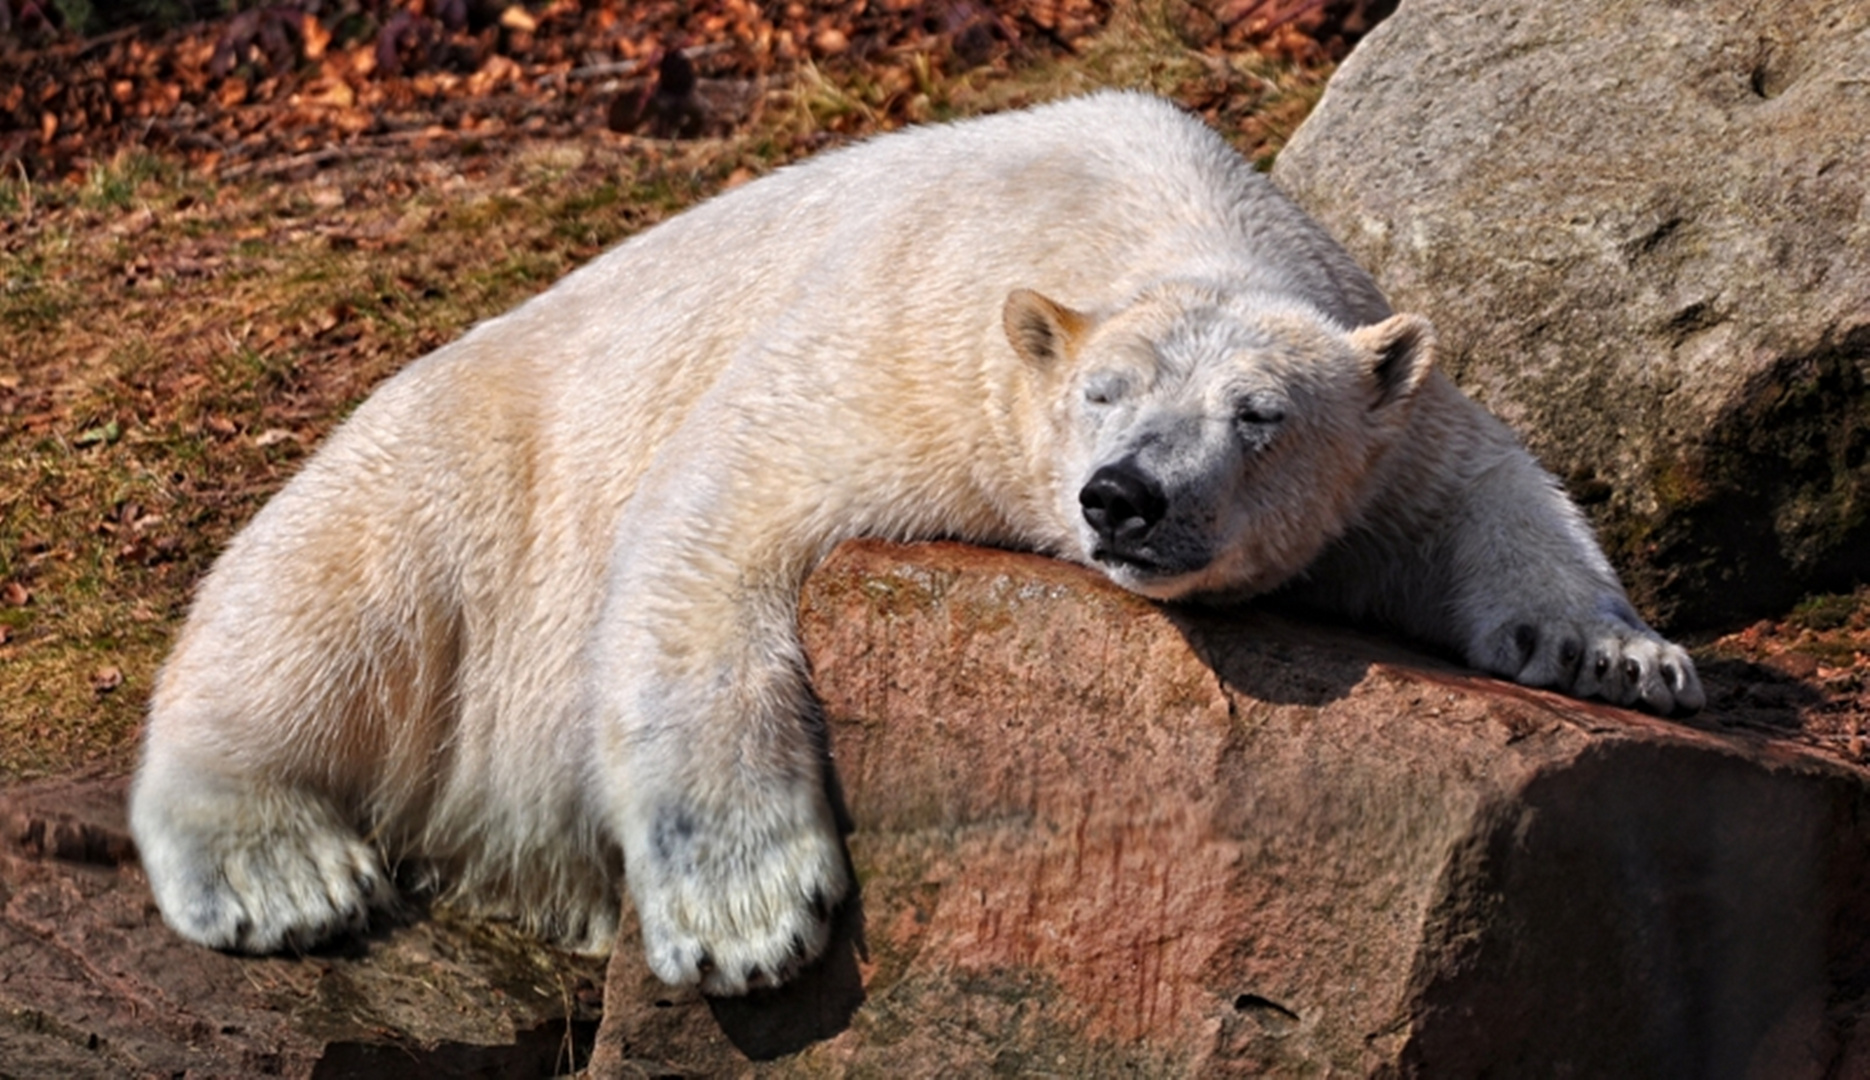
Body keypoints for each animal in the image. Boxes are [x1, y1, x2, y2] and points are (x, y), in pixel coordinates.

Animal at [128, 90, 1712, 994]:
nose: (1122, 498)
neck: (1150, 203)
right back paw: (281, 870)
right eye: (1102, 390)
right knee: (333, 597)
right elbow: (716, 526)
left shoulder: (1367, 373)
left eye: (1259, 414)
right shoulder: (910, 347)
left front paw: (1618, 653)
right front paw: (749, 916)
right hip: (475, 458)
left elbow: (1480, 488)